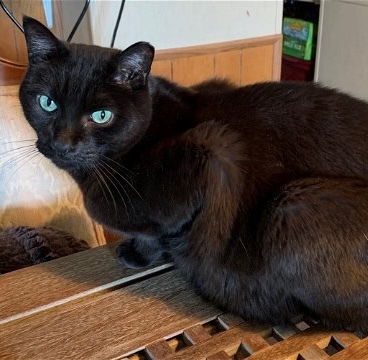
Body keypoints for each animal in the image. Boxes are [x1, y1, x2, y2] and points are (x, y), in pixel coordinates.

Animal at [19, 17, 368, 332]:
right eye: (47, 103)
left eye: (101, 115)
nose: (63, 143)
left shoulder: (213, 153)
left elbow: (158, 233)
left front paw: (137, 254)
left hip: (293, 205)